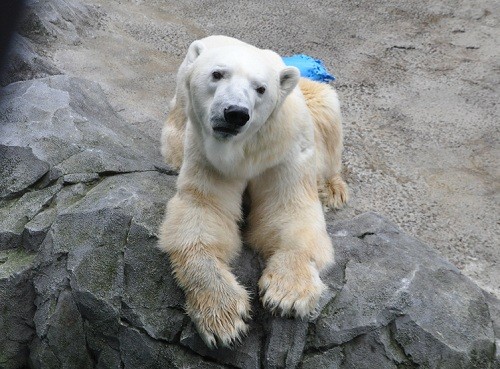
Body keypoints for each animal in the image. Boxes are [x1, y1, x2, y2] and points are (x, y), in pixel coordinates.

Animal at [159, 36, 348, 346]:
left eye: (261, 88)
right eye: (217, 74)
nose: (235, 113)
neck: (244, 150)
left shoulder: (283, 149)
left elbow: (287, 211)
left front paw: (288, 294)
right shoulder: (205, 152)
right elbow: (204, 212)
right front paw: (222, 314)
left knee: (328, 110)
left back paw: (332, 188)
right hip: (179, 105)